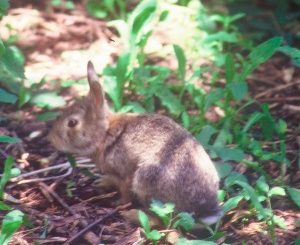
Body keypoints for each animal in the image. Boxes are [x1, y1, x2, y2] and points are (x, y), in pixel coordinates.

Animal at [48, 61, 223, 226]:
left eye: (72, 123)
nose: (52, 140)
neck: (105, 133)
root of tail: (204, 207)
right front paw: (102, 182)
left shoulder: (125, 175)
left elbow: (125, 193)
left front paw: (118, 204)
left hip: (147, 183)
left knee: (165, 218)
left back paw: (132, 215)